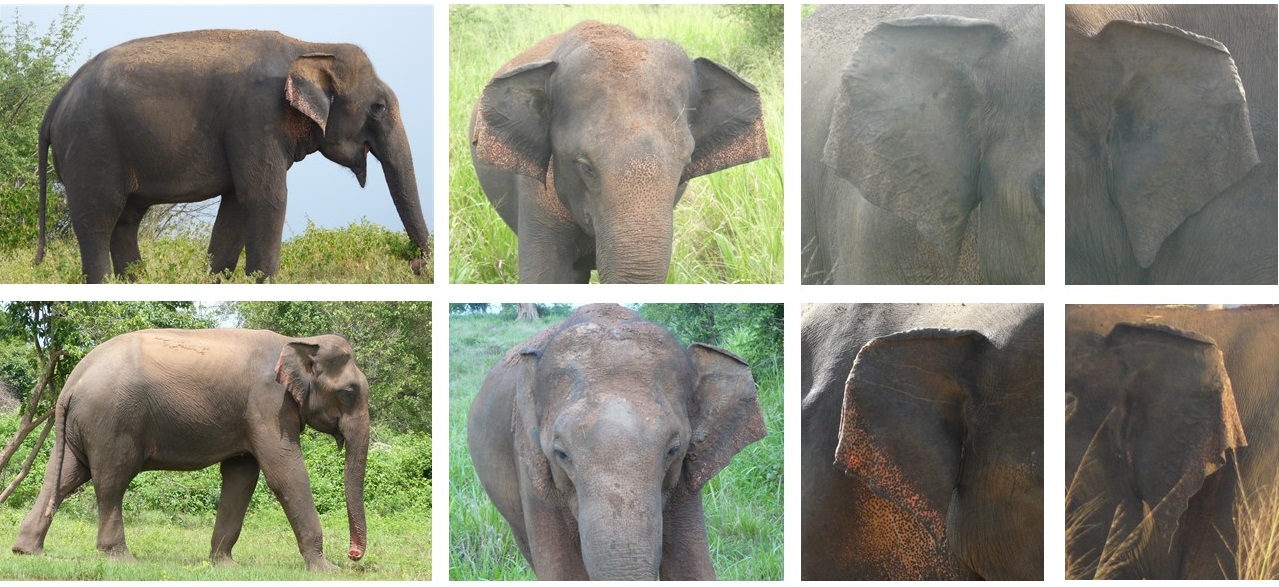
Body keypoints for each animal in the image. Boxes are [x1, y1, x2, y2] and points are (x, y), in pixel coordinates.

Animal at [11, 329, 369, 572]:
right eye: (350, 392)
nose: (352, 555)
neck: (299, 341)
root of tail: (72, 381)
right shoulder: (268, 405)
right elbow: (285, 475)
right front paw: (326, 570)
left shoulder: (250, 414)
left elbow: (241, 477)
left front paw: (225, 566)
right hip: (111, 421)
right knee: (112, 480)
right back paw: (122, 558)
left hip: (81, 425)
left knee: (64, 478)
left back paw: (27, 551)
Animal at [34, 29, 431, 283]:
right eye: (378, 107)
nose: (414, 265)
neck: (311, 47)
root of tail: (56, 101)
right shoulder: (256, 116)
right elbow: (265, 196)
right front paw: (263, 282)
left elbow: (239, 202)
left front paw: (218, 279)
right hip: (91, 147)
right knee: (98, 217)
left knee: (126, 220)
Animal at [466, 304, 765, 579]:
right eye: (561, 454)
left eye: (673, 450)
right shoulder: (532, 469)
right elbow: (564, 571)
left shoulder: (684, 478)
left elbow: (691, 567)